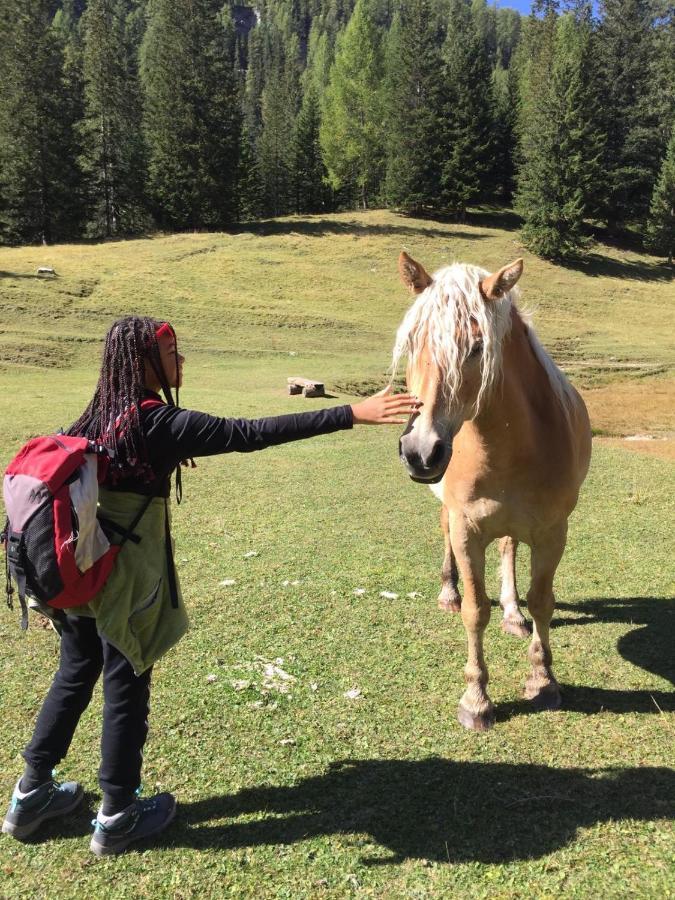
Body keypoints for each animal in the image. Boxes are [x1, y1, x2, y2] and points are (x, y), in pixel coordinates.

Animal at [396, 251, 592, 732]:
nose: (420, 451)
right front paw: (476, 699)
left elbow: (542, 602)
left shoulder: (552, 532)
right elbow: (474, 610)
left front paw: (543, 680)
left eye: (477, 347)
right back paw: (448, 592)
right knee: (446, 539)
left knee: (507, 549)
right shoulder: (467, 529)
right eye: (412, 343)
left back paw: (512, 613)